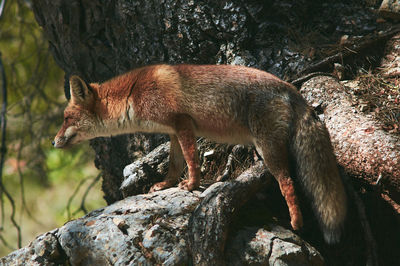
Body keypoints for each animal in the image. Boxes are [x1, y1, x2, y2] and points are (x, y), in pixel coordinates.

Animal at [53, 64, 346, 243]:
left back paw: (296, 222)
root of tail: (291, 88)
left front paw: (192, 185)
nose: (54, 142)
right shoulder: (173, 132)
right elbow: (174, 164)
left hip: (268, 149)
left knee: (288, 182)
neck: (133, 93)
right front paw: (165, 185)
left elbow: (192, 160)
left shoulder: (183, 123)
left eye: (66, 118)